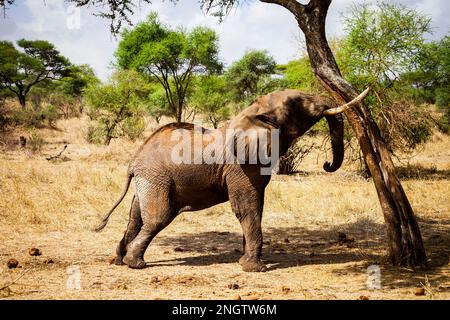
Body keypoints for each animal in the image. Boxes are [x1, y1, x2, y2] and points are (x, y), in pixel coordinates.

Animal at [94, 86, 370, 272]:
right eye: (298, 102)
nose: (326, 164)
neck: (255, 111)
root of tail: (133, 162)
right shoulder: (241, 166)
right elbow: (247, 207)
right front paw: (255, 269)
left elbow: (255, 207)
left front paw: (245, 261)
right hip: (157, 179)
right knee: (157, 218)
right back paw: (136, 264)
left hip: (148, 180)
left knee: (135, 218)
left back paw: (118, 260)